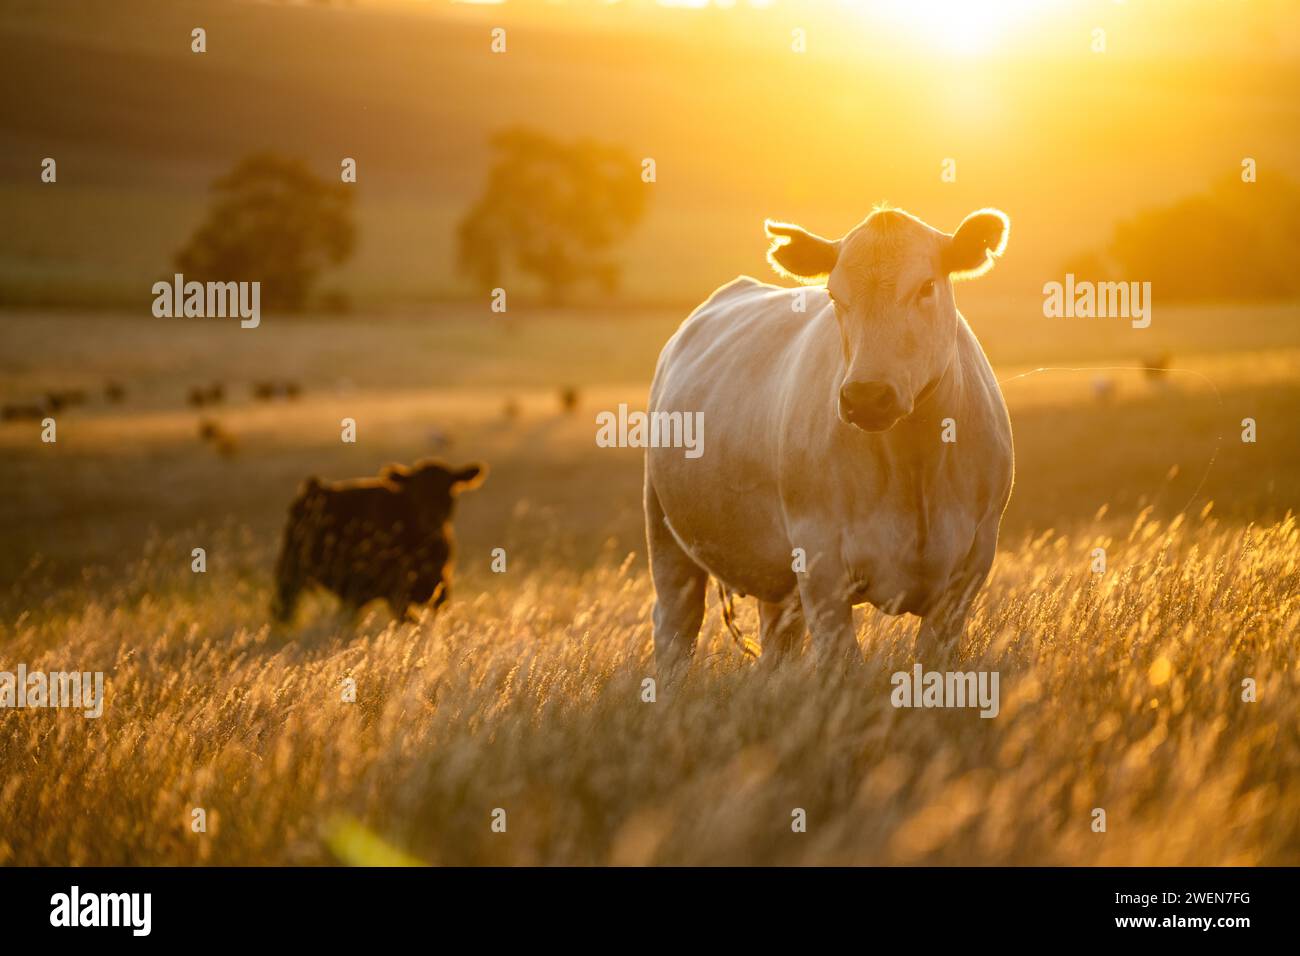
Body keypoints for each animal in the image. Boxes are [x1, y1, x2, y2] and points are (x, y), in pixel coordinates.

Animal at [270, 457, 488, 624]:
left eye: (449, 490)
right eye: (416, 493)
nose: (433, 518)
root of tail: (315, 488)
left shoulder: (439, 587)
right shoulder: (396, 593)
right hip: (291, 572)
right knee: (284, 607)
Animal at [642, 205, 1013, 671]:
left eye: (926, 286)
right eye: (835, 296)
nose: (867, 396)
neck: (915, 464)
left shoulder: (970, 568)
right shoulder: (820, 565)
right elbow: (843, 662)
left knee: (776, 642)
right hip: (665, 533)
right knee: (676, 626)